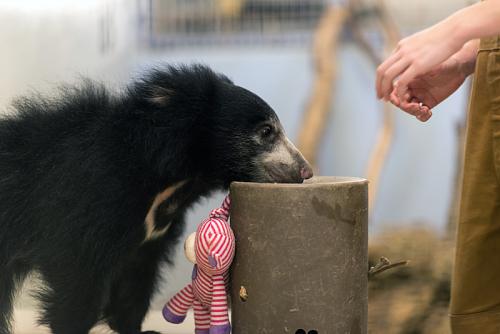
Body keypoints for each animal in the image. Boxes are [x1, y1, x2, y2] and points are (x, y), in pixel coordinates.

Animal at [0, 64, 312, 332]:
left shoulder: (150, 237)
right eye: (266, 131)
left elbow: (136, 281)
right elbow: (77, 275)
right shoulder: (88, 202)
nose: (305, 170)